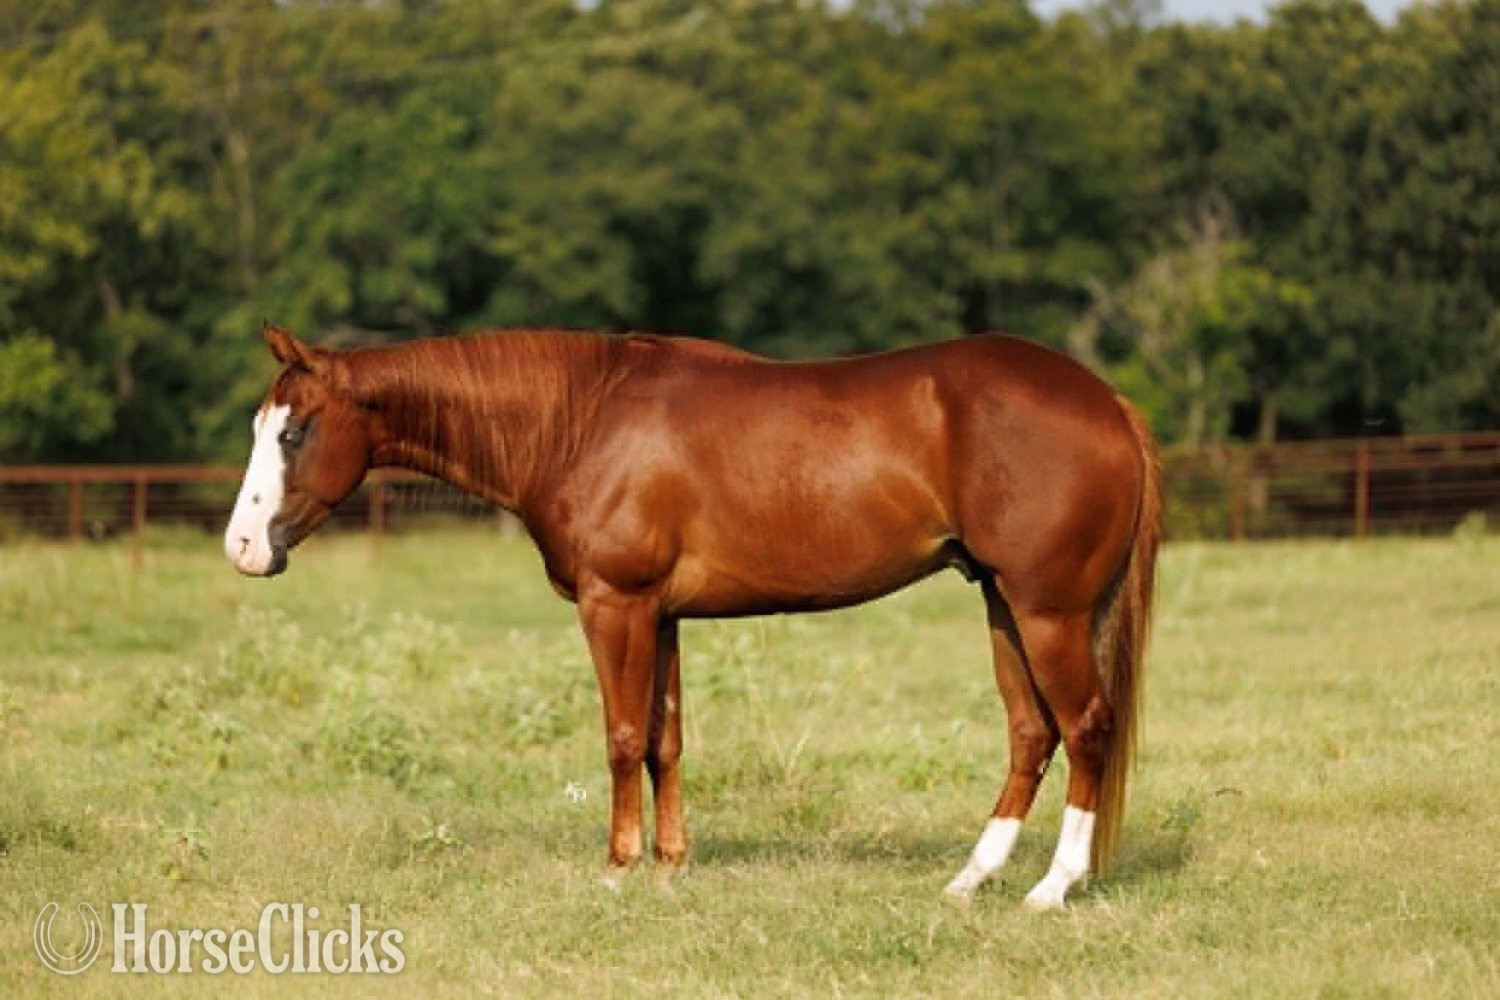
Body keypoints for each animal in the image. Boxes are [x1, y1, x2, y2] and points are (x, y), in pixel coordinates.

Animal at [224, 323, 1161, 908]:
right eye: (262, 424)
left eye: (295, 432)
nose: (241, 546)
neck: (578, 420)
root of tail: (1108, 402)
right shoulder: (663, 615)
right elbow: (665, 739)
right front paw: (672, 867)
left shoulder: (616, 604)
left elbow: (621, 739)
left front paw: (618, 869)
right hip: (1002, 604)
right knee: (1032, 734)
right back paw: (972, 879)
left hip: (1047, 610)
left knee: (1087, 725)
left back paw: (1052, 887)